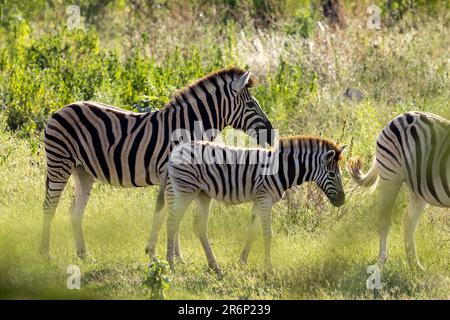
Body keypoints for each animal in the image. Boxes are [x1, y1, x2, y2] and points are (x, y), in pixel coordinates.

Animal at [41, 67, 274, 258]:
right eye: (251, 104)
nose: (271, 134)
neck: (188, 127)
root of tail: (60, 109)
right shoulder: (175, 176)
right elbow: (172, 213)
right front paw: (173, 256)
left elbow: (171, 213)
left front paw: (168, 254)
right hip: (60, 163)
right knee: (49, 206)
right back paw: (46, 254)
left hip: (83, 171)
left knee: (75, 210)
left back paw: (83, 254)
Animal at [157, 136, 344, 274]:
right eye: (332, 174)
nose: (342, 201)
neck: (280, 169)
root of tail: (175, 151)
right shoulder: (265, 199)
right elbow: (268, 234)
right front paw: (269, 268)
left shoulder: (258, 200)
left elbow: (252, 231)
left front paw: (242, 261)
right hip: (185, 190)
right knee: (172, 223)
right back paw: (171, 265)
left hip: (202, 195)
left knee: (199, 227)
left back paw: (214, 266)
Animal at [348, 111, 450, 268]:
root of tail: (401, 116)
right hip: (391, 176)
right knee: (385, 220)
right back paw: (382, 262)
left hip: (418, 188)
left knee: (408, 221)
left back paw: (415, 266)